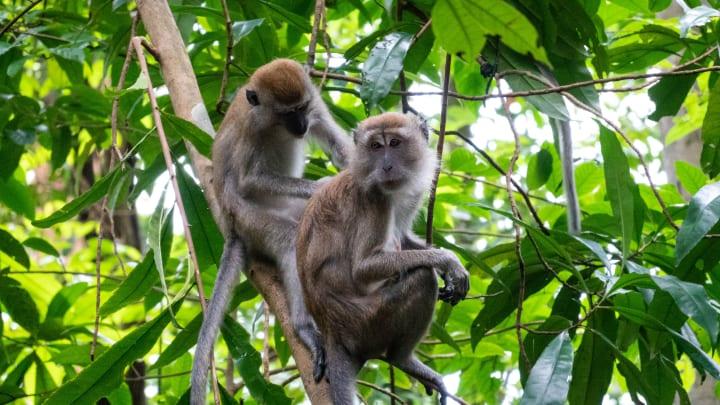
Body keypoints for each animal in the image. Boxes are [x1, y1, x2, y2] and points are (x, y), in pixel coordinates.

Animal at [190, 58, 350, 402]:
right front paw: (323, 185)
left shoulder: (315, 105)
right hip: (252, 220)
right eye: (288, 113)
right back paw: (305, 329)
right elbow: (250, 180)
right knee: (290, 240)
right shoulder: (252, 129)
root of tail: (233, 227)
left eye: (301, 108)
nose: (301, 125)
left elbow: (340, 148)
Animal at [296, 112, 470, 402]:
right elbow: (364, 267)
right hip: (367, 323)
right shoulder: (374, 199)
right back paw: (402, 359)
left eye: (395, 143)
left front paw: (448, 264)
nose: (386, 166)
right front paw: (448, 262)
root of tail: (332, 330)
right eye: (376, 146)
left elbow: (404, 236)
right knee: (422, 278)